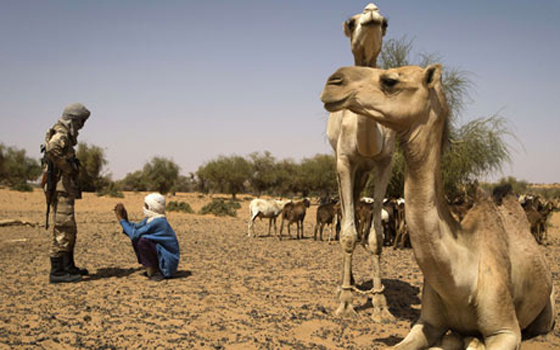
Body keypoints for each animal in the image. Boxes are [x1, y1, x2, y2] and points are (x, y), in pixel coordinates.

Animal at [320, 64, 556, 348]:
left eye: (390, 81)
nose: (333, 82)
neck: (461, 276)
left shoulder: (506, 330)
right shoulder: (426, 323)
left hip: (547, 309)